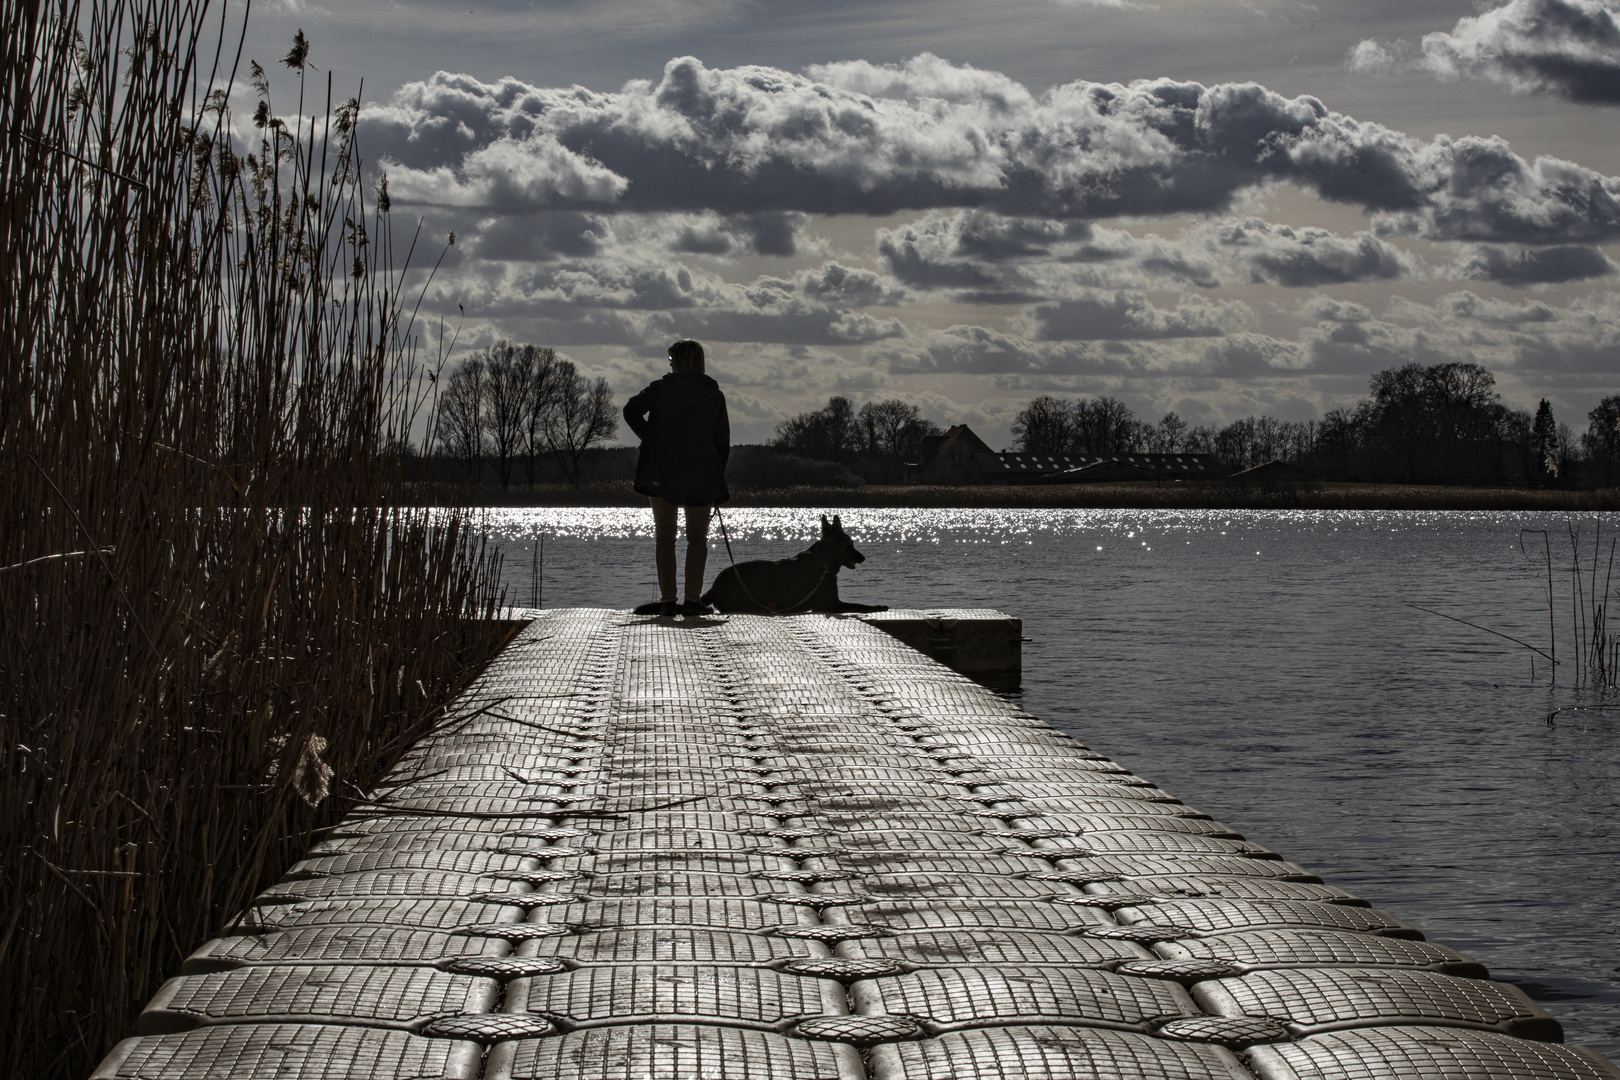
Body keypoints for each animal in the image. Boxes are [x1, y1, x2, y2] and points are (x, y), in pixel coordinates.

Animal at [706, 518, 894, 615]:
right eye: (851, 545)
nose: (863, 558)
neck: (823, 563)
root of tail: (714, 587)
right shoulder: (831, 605)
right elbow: (860, 605)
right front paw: (877, 607)